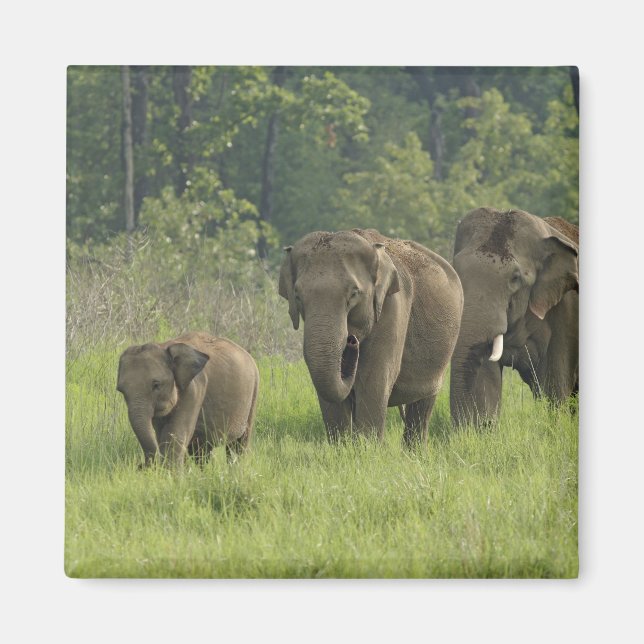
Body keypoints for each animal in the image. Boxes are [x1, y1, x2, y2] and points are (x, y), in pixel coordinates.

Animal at [117, 332, 259, 466]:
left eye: (156, 385)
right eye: (121, 390)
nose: (140, 465)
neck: (164, 346)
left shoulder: (194, 389)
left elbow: (176, 434)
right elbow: (162, 434)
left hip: (253, 394)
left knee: (239, 444)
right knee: (202, 449)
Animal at [279, 228, 463, 446]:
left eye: (353, 294)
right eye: (298, 296)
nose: (352, 341)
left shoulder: (393, 308)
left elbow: (373, 381)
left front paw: (367, 448)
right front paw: (342, 448)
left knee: (422, 405)